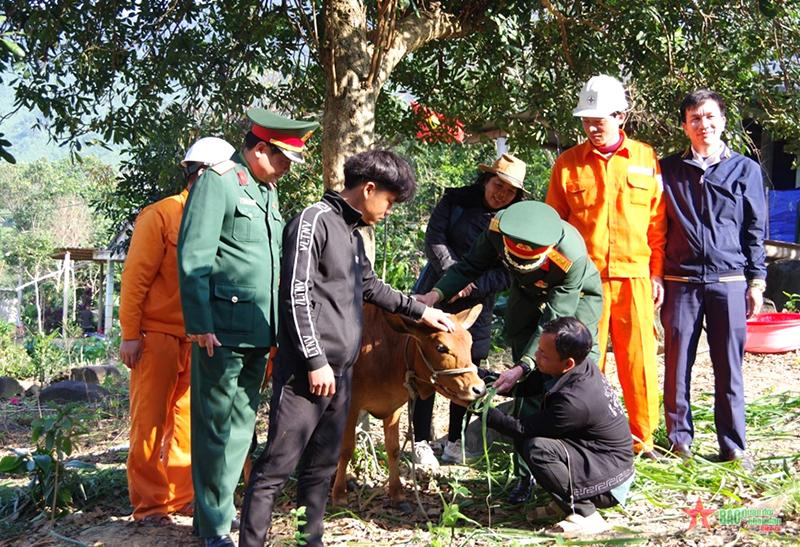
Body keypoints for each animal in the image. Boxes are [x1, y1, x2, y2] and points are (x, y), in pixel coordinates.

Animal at [330, 302, 484, 508]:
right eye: (441, 347)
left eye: (469, 343)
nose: (478, 388)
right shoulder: (351, 405)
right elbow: (346, 449)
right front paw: (339, 494)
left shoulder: (394, 407)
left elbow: (393, 449)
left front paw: (397, 492)